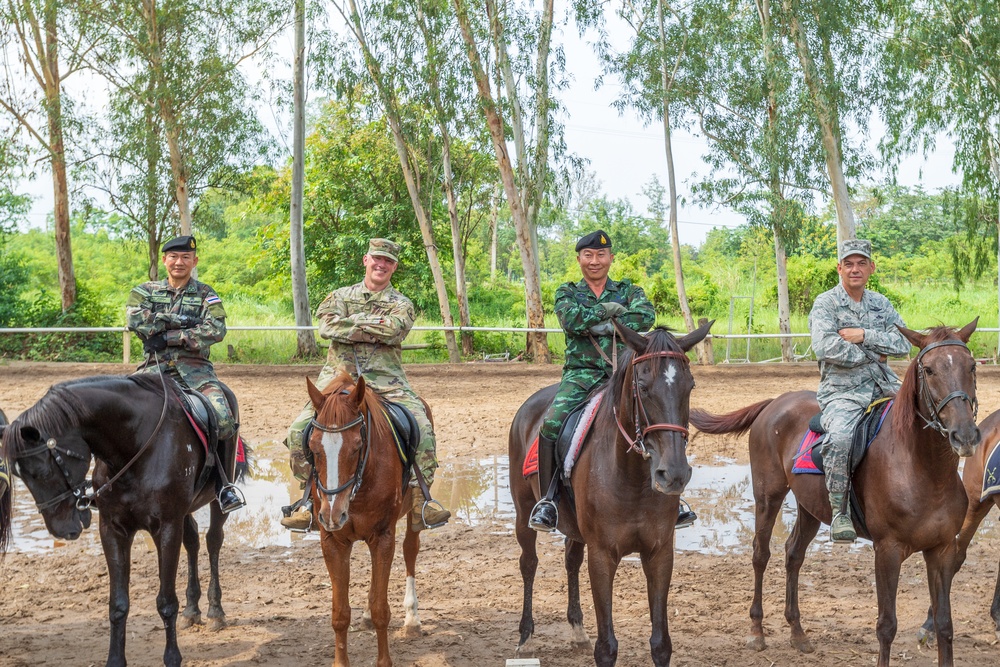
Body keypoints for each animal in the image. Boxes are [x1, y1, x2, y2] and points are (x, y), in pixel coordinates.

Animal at [0, 376, 249, 667]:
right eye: (19, 476)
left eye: (41, 471)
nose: (62, 529)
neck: (135, 446)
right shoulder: (113, 530)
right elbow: (118, 604)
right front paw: (115, 659)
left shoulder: (167, 528)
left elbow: (166, 602)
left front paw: (172, 657)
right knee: (193, 542)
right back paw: (192, 609)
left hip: (216, 499)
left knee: (212, 542)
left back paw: (215, 610)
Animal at [298, 374, 420, 667]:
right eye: (313, 447)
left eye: (356, 447)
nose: (332, 514)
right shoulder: (332, 540)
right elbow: (340, 613)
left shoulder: (383, 537)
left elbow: (381, 610)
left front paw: (384, 661)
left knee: (410, 551)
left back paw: (412, 619)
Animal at [508, 320, 712, 667]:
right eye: (643, 387)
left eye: (690, 386)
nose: (674, 474)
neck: (632, 480)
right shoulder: (602, 555)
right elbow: (606, 648)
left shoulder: (660, 553)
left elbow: (661, 644)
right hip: (523, 512)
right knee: (529, 564)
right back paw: (525, 637)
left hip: (575, 528)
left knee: (571, 560)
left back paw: (577, 628)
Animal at [692, 320, 980, 664]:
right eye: (929, 370)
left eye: (972, 366)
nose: (964, 435)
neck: (924, 472)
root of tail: (774, 402)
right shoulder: (887, 551)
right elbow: (887, 626)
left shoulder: (942, 551)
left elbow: (944, 625)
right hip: (768, 497)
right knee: (760, 554)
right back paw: (756, 632)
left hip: (810, 508)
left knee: (793, 554)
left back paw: (798, 633)